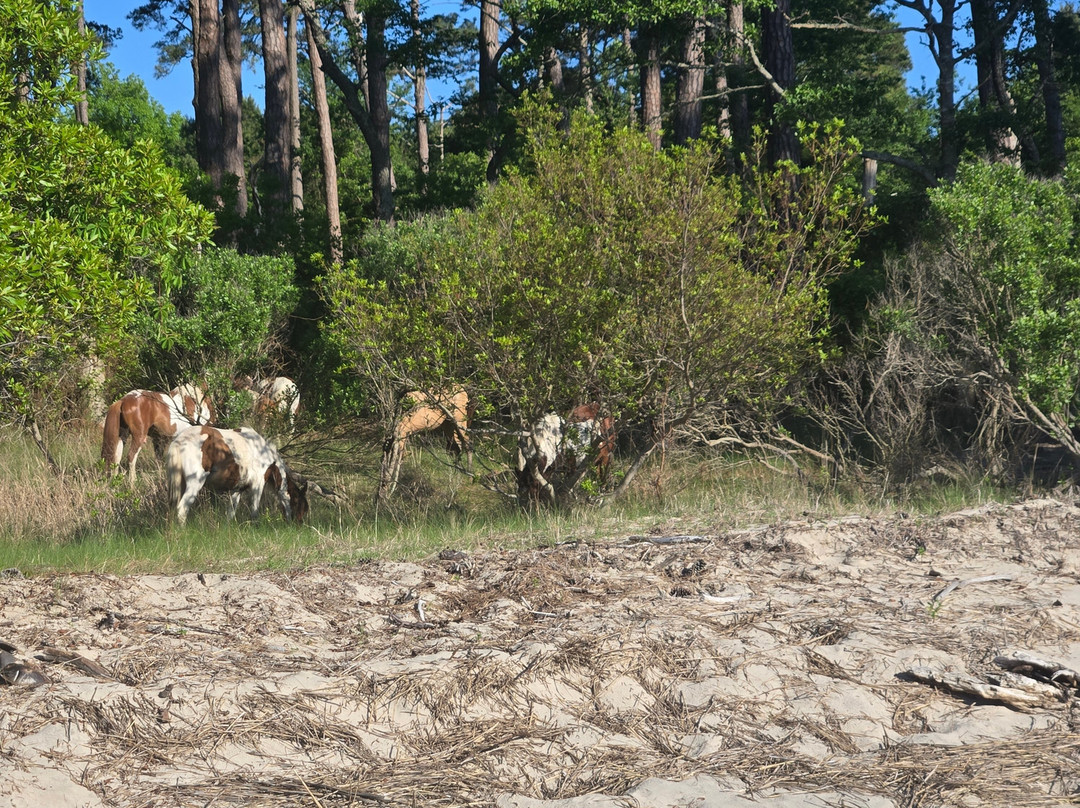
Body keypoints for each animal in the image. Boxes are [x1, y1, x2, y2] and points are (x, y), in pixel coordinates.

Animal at [166, 426, 309, 526]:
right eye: (299, 504)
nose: (298, 525)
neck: (263, 453)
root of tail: (179, 441)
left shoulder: (237, 489)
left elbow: (231, 513)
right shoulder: (258, 485)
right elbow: (254, 511)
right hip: (195, 483)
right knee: (182, 509)